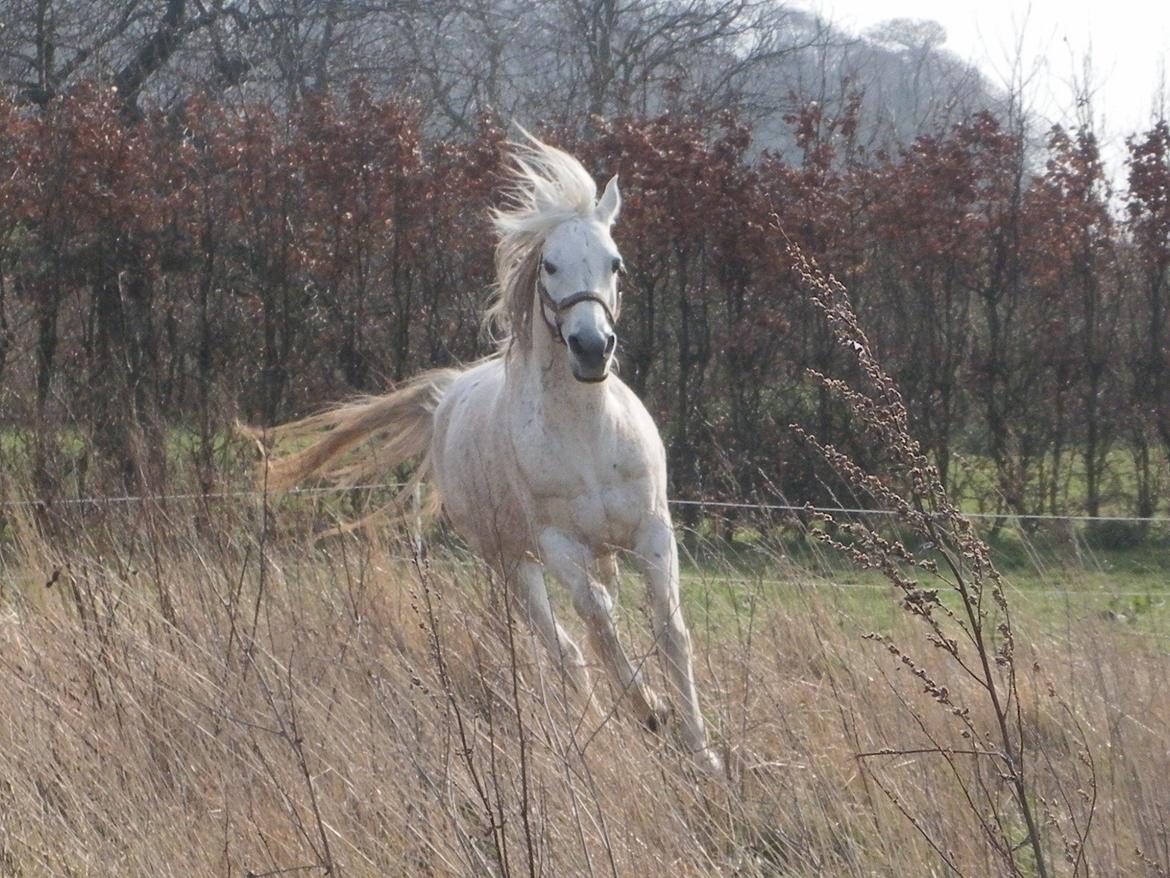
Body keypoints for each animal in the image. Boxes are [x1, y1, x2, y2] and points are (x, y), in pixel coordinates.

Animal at [266, 134, 720, 772]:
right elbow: (599, 623)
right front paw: (652, 712)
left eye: (616, 263)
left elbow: (671, 633)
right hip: (511, 564)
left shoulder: (653, 533)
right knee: (565, 647)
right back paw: (587, 736)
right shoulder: (557, 546)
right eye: (549, 265)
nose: (591, 348)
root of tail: (446, 395)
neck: (586, 436)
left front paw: (703, 753)